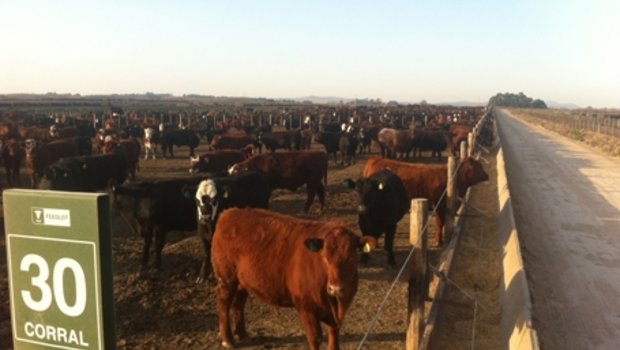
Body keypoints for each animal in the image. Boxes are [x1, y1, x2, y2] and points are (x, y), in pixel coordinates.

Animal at [212, 208, 378, 350]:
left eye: (352, 258)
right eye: (324, 258)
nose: (335, 288)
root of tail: (229, 213)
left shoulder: (332, 314)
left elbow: (333, 333)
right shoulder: (306, 308)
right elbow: (315, 338)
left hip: (243, 281)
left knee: (238, 302)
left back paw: (242, 334)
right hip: (226, 277)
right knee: (224, 301)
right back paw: (227, 339)